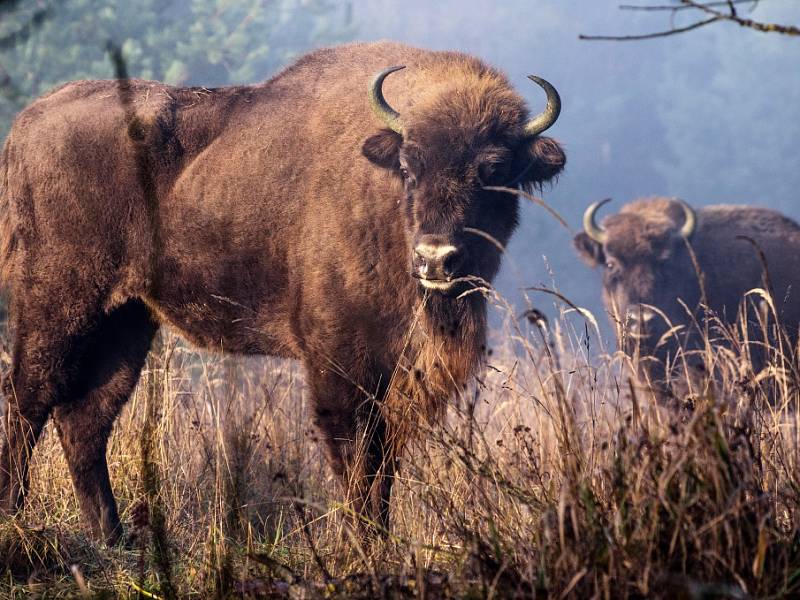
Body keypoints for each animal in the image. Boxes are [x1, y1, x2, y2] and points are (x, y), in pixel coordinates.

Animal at [0, 39, 564, 540]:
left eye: (496, 171)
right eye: (408, 166)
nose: (435, 258)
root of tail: (29, 122)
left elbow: (383, 467)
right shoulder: (340, 362)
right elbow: (357, 460)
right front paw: (363, 546)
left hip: (127, 319)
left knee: (85, 417)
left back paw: (112, 536)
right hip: (58, 302)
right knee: (28, 396)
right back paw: (14, 516)